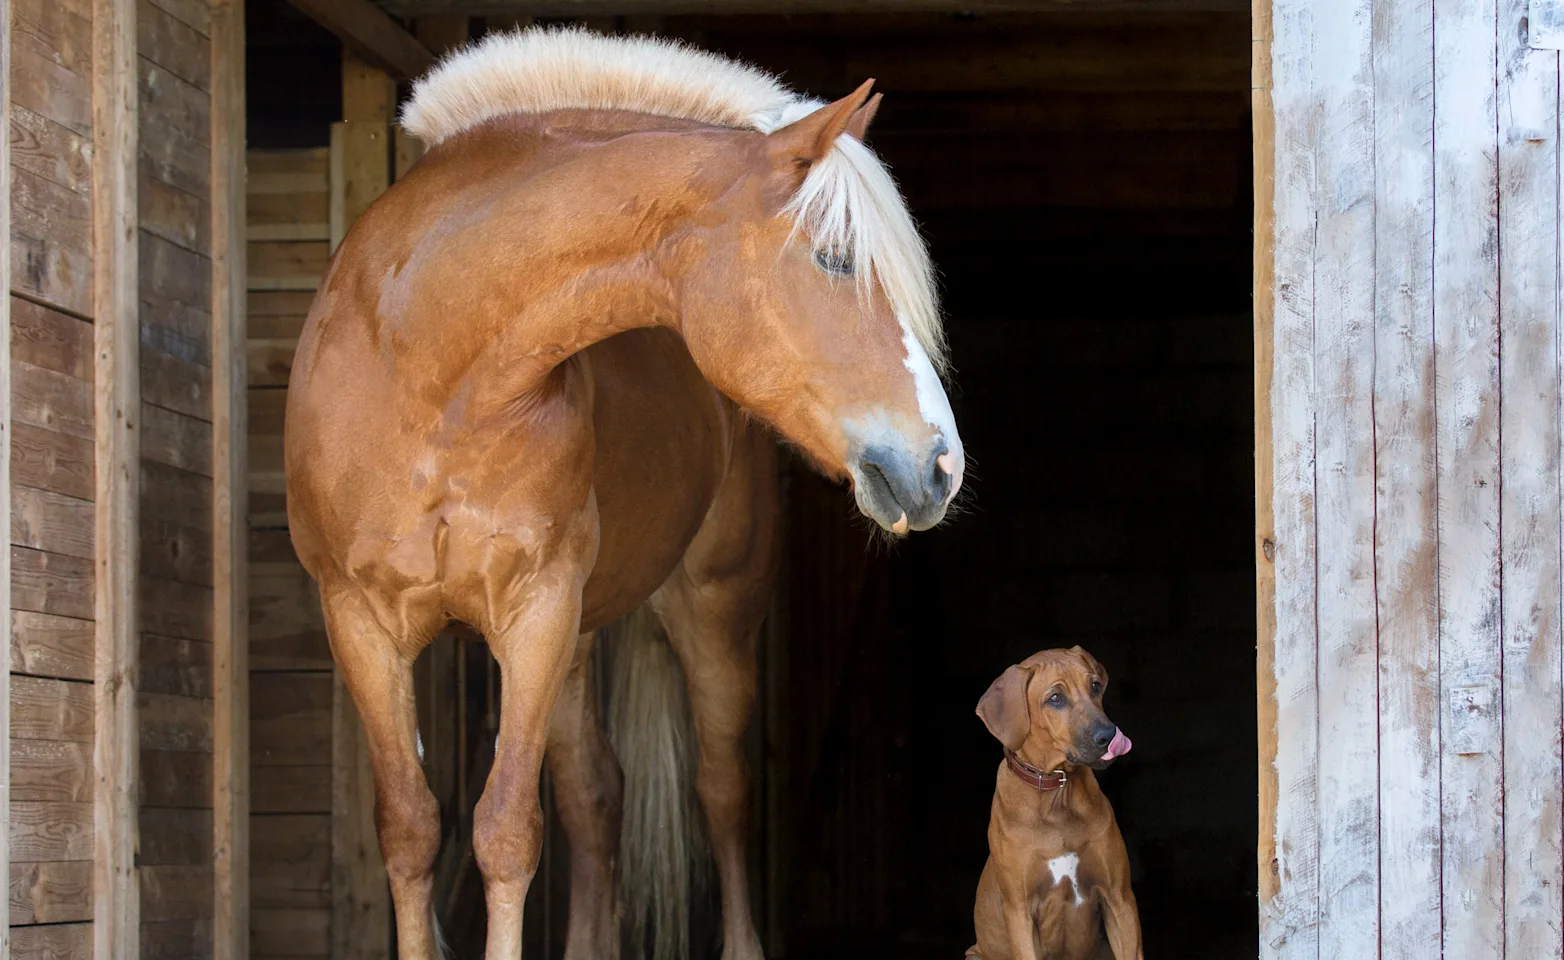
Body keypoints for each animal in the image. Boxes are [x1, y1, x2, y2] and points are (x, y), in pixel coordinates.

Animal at [286, 26, 957, 956]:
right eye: (834, 258)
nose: (941, 467)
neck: (426, 367)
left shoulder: (536, 612)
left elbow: (506, 831)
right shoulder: (359, 620)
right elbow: (414, 830)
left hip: (710, 614)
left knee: (719, 792)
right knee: (595, 799)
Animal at [969, 647, 1144, 960]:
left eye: (1095, 685)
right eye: (1055, 698)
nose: (1109, 735)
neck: (1057, 795)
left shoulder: (1120, 898)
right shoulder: (1019, 913)